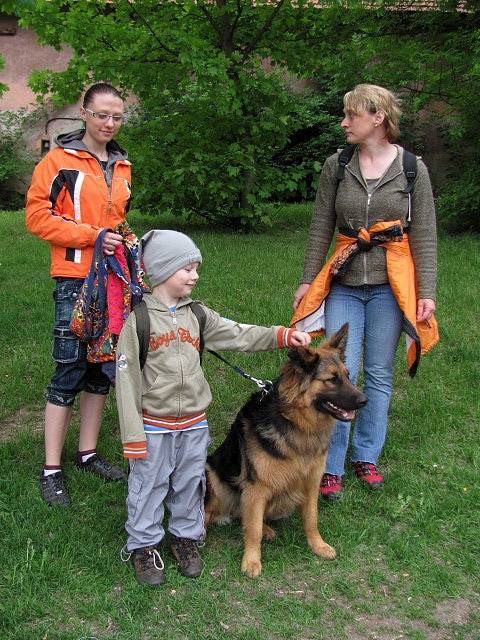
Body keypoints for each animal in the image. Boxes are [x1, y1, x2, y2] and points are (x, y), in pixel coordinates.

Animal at [204, 324, 366, 580]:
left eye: (348, 376)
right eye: (332, 379)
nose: (365, 400)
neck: (296, 423)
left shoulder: (311, 482)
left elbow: (311, 519)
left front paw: (317, 545)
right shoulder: (256, 486)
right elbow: (252, 530)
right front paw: (251, 561)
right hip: (214, 475)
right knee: (217, 513)